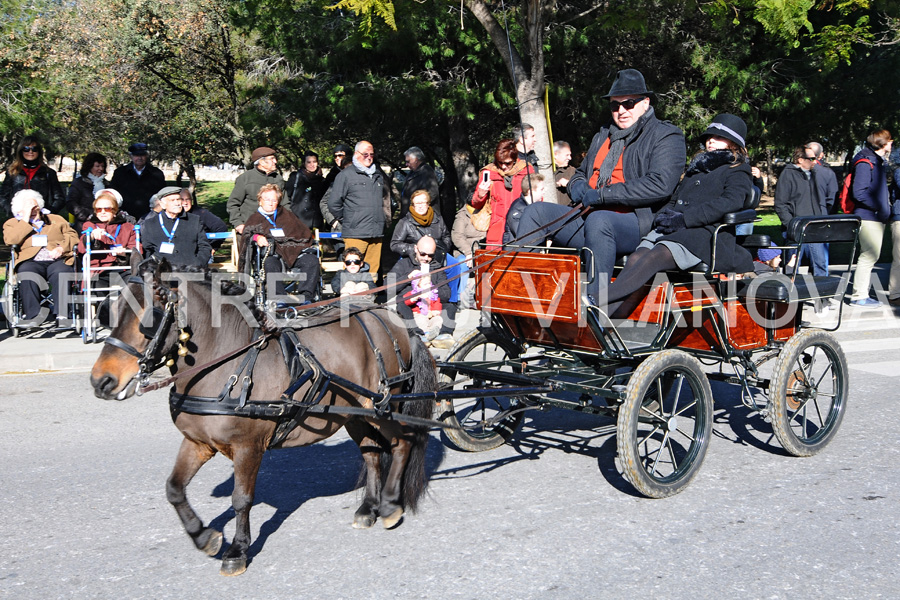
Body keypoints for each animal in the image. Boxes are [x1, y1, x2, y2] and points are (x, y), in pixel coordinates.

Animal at [90, 255, 436, 576]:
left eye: (149, 316)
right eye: (109, 310)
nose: (100, 381)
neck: (227, 362)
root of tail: (393, 319)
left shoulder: (248, 446)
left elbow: (241, 498)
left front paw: (237, 550)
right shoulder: (198, 442)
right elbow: (174, 488)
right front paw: (204, 537)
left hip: (382, 407)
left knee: (402, 443)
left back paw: (389, 505)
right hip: (356, 414)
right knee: (372, 453)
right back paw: (368, 508)